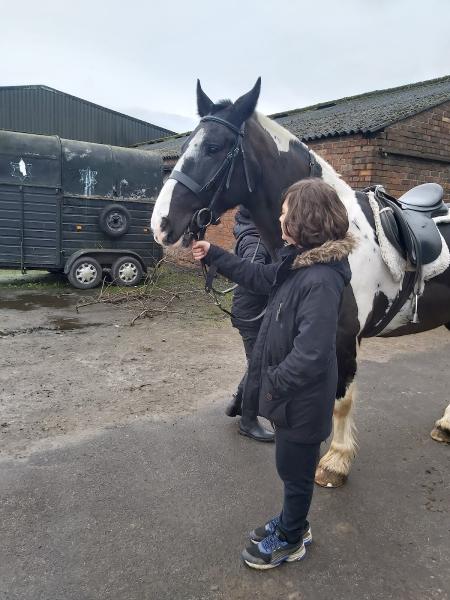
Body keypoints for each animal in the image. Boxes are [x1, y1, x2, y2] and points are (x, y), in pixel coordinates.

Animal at [151, 78, 450, 488]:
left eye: (214, 147)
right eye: (181, 149)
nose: (160, 225)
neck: (336, 236)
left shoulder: (343, 335)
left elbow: (341, 399)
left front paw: (335, 462)